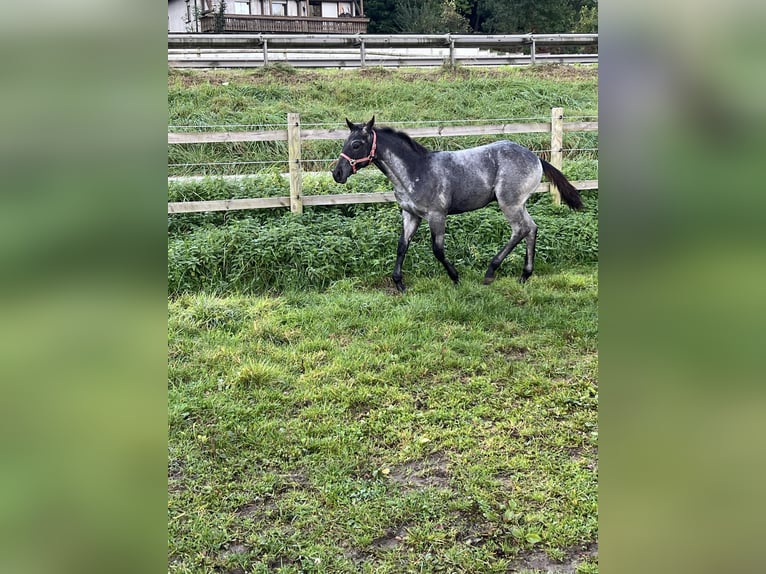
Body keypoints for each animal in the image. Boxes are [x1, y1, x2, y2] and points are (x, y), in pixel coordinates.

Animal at [330, 116, 584, 292]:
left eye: (356, 144)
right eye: (345, 142)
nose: (337, 173)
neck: (415, 171)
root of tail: (536, 158)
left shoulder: (437, 215)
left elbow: (437, 250)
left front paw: (455, 277)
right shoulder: (410, 215)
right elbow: (402, 245)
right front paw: (399, 284)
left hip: (509, 204)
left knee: (520, 230)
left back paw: (490, 272)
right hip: (519, 204)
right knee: (531, 228)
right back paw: (524, 275)